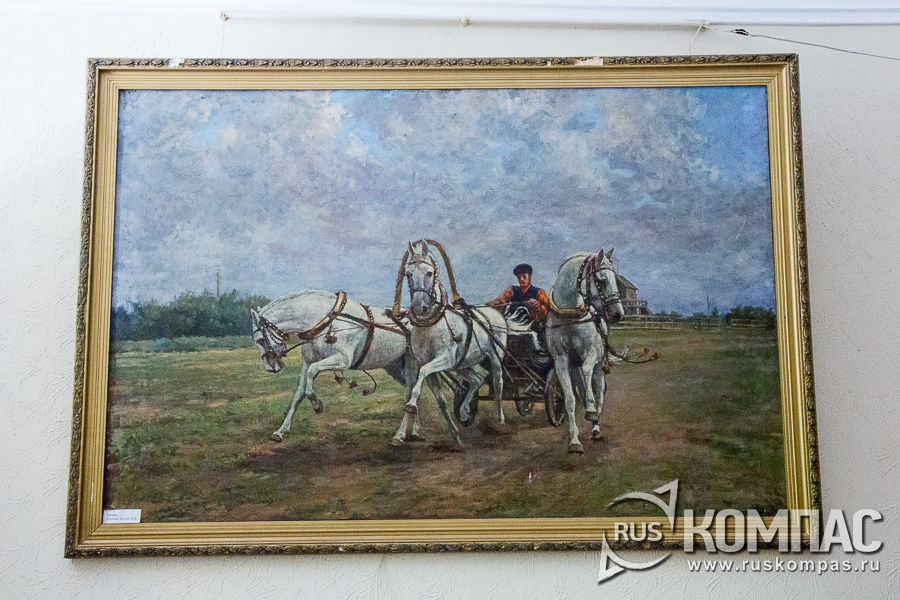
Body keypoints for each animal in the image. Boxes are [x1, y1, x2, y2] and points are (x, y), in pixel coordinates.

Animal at [251, 289, 422, 443]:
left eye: (260, 340)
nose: (270, 368)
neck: (326, 320)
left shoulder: (342, 360)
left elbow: (311, 376)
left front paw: (316, 404)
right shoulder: (308, 363)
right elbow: (299, 394)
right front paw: (280, 431)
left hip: (411, 364)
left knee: (411, 393)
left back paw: (400, 435)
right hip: (395, 368)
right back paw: (415, 431)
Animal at [397, 240, 510, 446]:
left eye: (429, 273)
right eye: (408, 274)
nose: (418, 308)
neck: (430, 326)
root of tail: (494, 312)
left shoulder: (444, 359)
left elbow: (422, 376)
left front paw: (411, 405)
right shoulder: (431, 367)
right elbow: (440, 400)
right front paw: (455, 435)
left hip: (495, 357)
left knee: (497, 383)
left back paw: (500, 420)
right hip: (462, 364)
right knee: (477, 379)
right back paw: (465, 412)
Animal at [545, 250, 625, 454]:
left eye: (615, 279)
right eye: (602, 280)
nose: (618, 314)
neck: (569, 317)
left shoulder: (591, 354)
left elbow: (588, 373)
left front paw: (591, 412)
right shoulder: (561, 361)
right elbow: (570, 400)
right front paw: (574, 441)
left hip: (599, 367)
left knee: (599, 392)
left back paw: (596, 426)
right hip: (574, 368)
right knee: (581, 389)